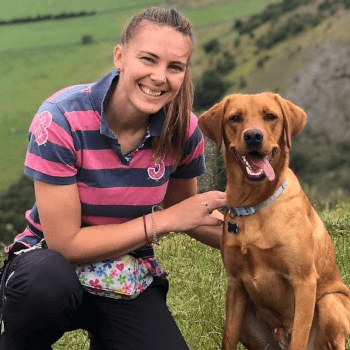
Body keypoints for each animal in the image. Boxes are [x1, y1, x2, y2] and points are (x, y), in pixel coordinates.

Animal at [198, 93, 348, 350]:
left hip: (330, 302)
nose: (253, 136)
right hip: (248, 315)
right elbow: (228, 338)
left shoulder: (304, 282)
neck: (255, 204)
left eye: (270, 116)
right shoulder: (235, 285)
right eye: (235, 118)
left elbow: (299, 337)